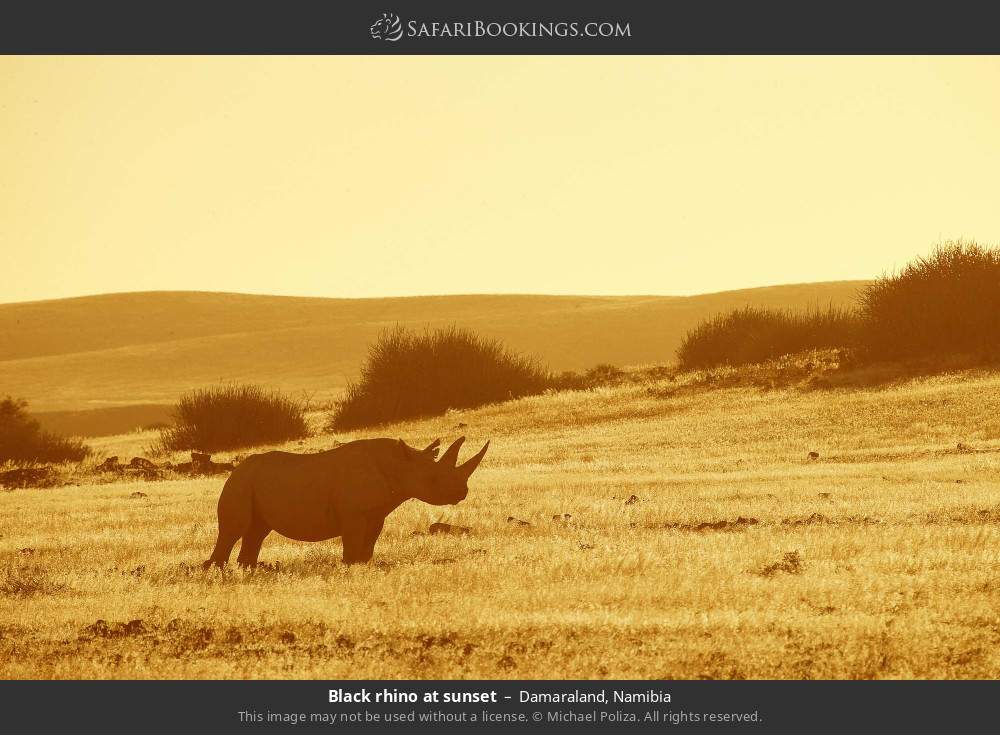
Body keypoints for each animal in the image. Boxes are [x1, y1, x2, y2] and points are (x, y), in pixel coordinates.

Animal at [203, 436, 488, 568]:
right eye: (434, 479)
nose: (461, 493)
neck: (400, 464)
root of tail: (236, 470)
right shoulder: (354, 515)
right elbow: (351, 545)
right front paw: (349, 567)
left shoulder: (376, 515)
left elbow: (368, 546)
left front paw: (363, 566)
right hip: (240, 484)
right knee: (234, 530)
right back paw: (218, 571)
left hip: (253, 484)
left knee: (257, 532)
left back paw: (249, 571)